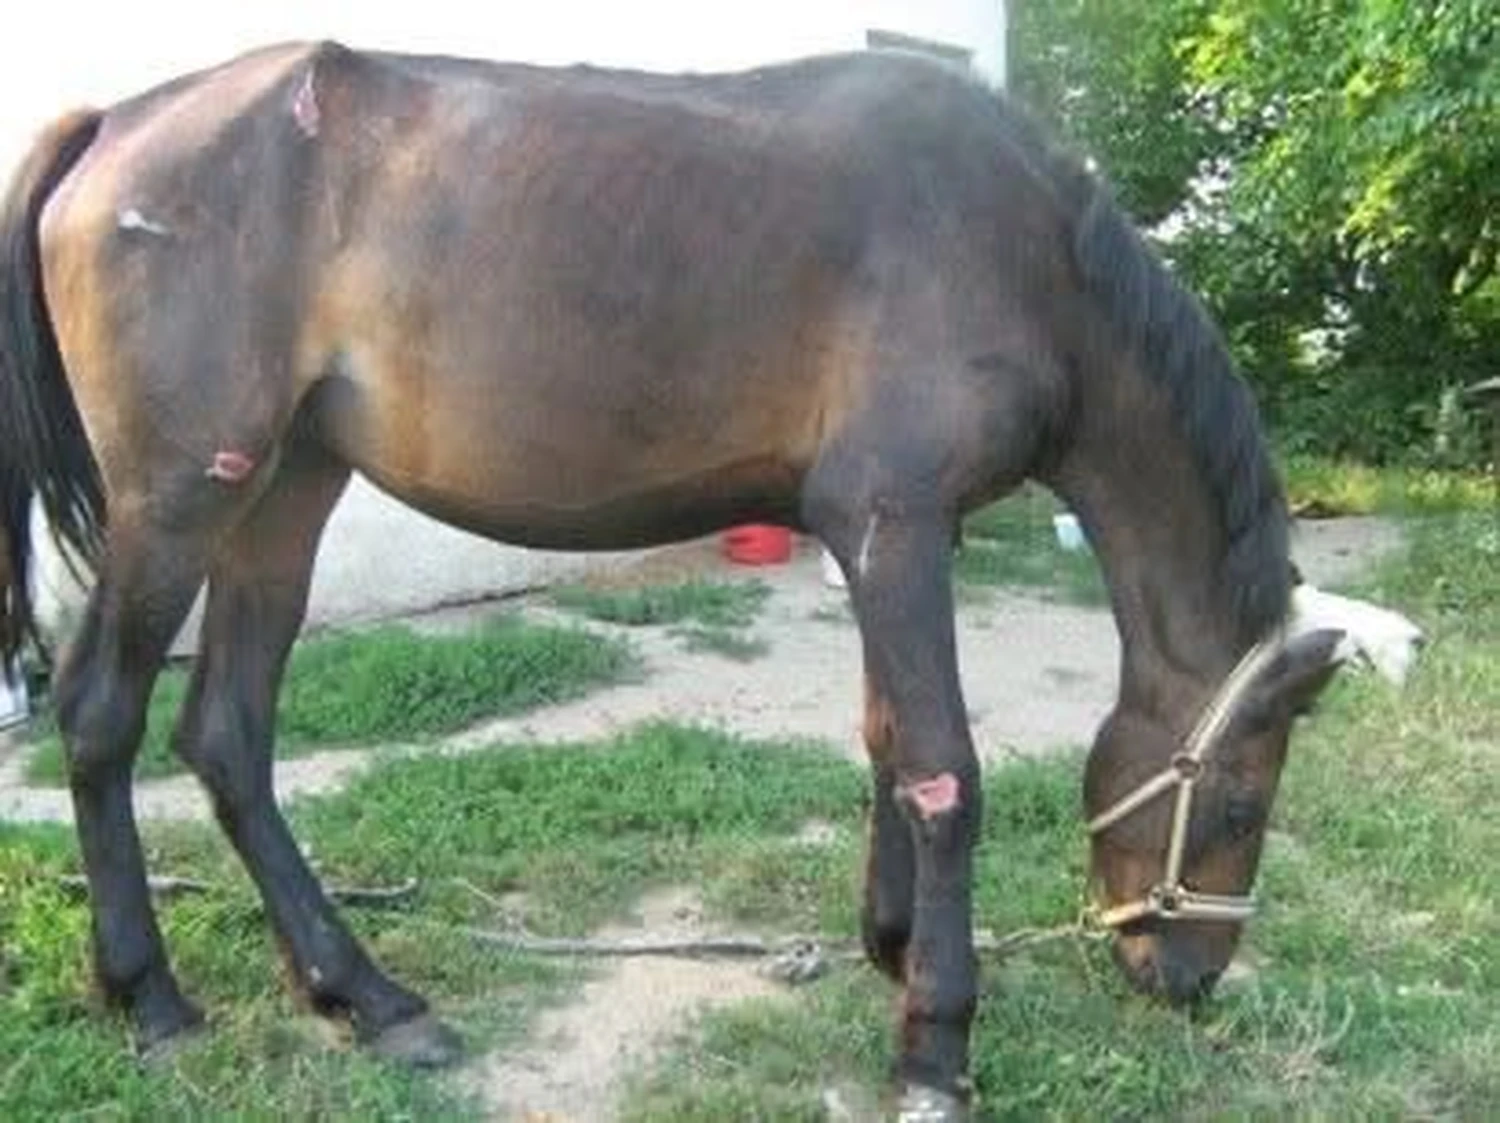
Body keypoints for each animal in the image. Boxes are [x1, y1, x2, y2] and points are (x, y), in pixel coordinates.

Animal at [0, 42, 1343, 1120]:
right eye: (1238, 808)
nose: (1185, 977)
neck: (1029, 255)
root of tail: (109, 126)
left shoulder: (881, 536)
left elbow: (884, 737)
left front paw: (894, 946)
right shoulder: (896, 521)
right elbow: (943, 772)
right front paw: (936, 1040)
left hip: (284, 491)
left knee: (227, 735)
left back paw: (367, 995)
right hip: (183, 498)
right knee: (101, 717)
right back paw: (152, 998)